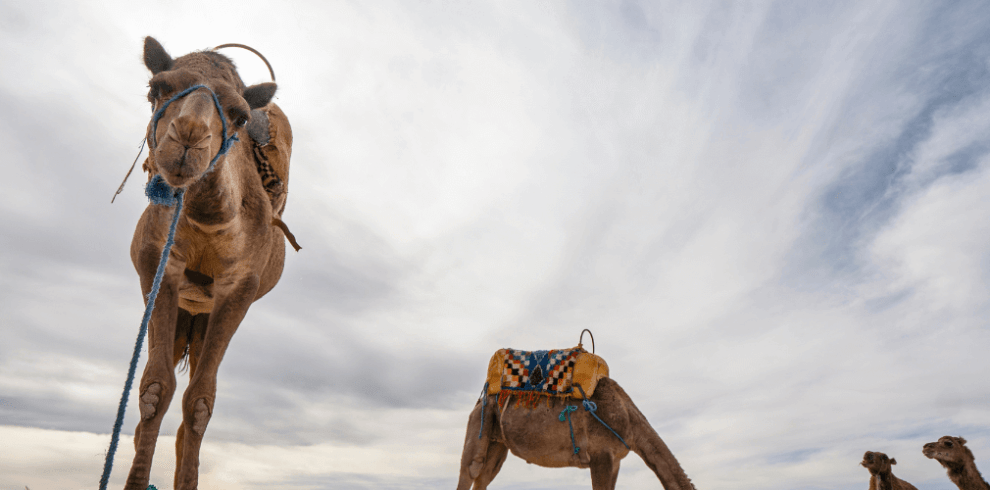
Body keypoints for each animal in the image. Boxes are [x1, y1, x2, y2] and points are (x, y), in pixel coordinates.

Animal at [123, 36, 290, 488]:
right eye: (156, 88)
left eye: (239, 115)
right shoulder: (159, 267)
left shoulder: (240, 289)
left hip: (204, 316)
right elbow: (155, 387)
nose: (188, 138)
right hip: (184, 310)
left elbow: (200, 400)